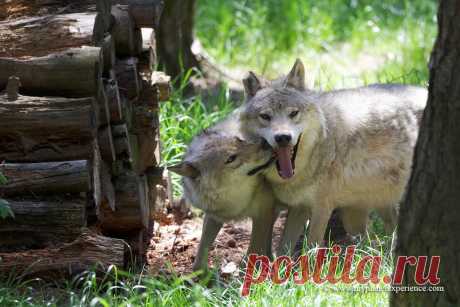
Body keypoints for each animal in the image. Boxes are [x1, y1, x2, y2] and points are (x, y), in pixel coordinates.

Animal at [169, 116, 276, 274]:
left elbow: (252, 250)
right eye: (231, 158)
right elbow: (200, 254)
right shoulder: (213, 217)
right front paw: (201, 276)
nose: (265, 142)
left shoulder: (264, 213)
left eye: (239, 140)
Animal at [239, 58, 426, 255]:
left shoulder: (322, 207)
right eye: (265, 116)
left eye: (293, 113)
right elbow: (284, 248)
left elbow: (312, 246)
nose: (283, 138)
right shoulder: (299, 208)